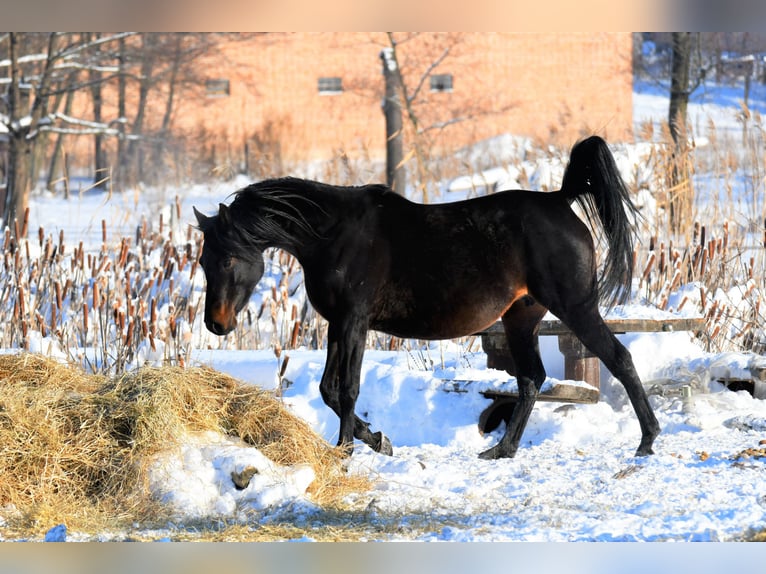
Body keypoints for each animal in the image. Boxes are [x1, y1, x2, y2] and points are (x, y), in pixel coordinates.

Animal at [194, 137, 660, 462]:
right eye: (202, 260)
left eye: (230, 258)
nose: (216, 323)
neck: (332, 236)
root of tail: (560, 199)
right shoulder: (337, 324)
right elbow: (328, 390)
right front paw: (376, 440)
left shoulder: (354, 321)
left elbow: (348, 389)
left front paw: (347, 450)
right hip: (521, 319)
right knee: (531, 378)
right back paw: (501, 450)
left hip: (575, 307)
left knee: (618, 359)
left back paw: (647, 440)